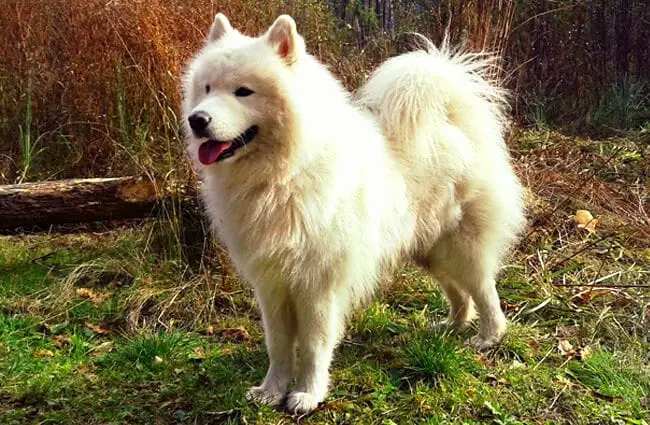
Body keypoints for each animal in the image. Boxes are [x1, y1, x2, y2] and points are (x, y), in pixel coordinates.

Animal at [180, 14, 524, 414]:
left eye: (243, 92)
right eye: (206, 88)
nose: (197, 120)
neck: (285, 174)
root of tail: (454, 123)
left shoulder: (317, 285)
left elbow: (314, 346)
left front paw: (307, 394)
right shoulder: (272, 284)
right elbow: (278, 346)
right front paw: (271, 391)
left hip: (461, 249)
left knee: (485, 292)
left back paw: (488, 337)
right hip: (430, 251)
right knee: (460, 295)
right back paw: (452, 326)